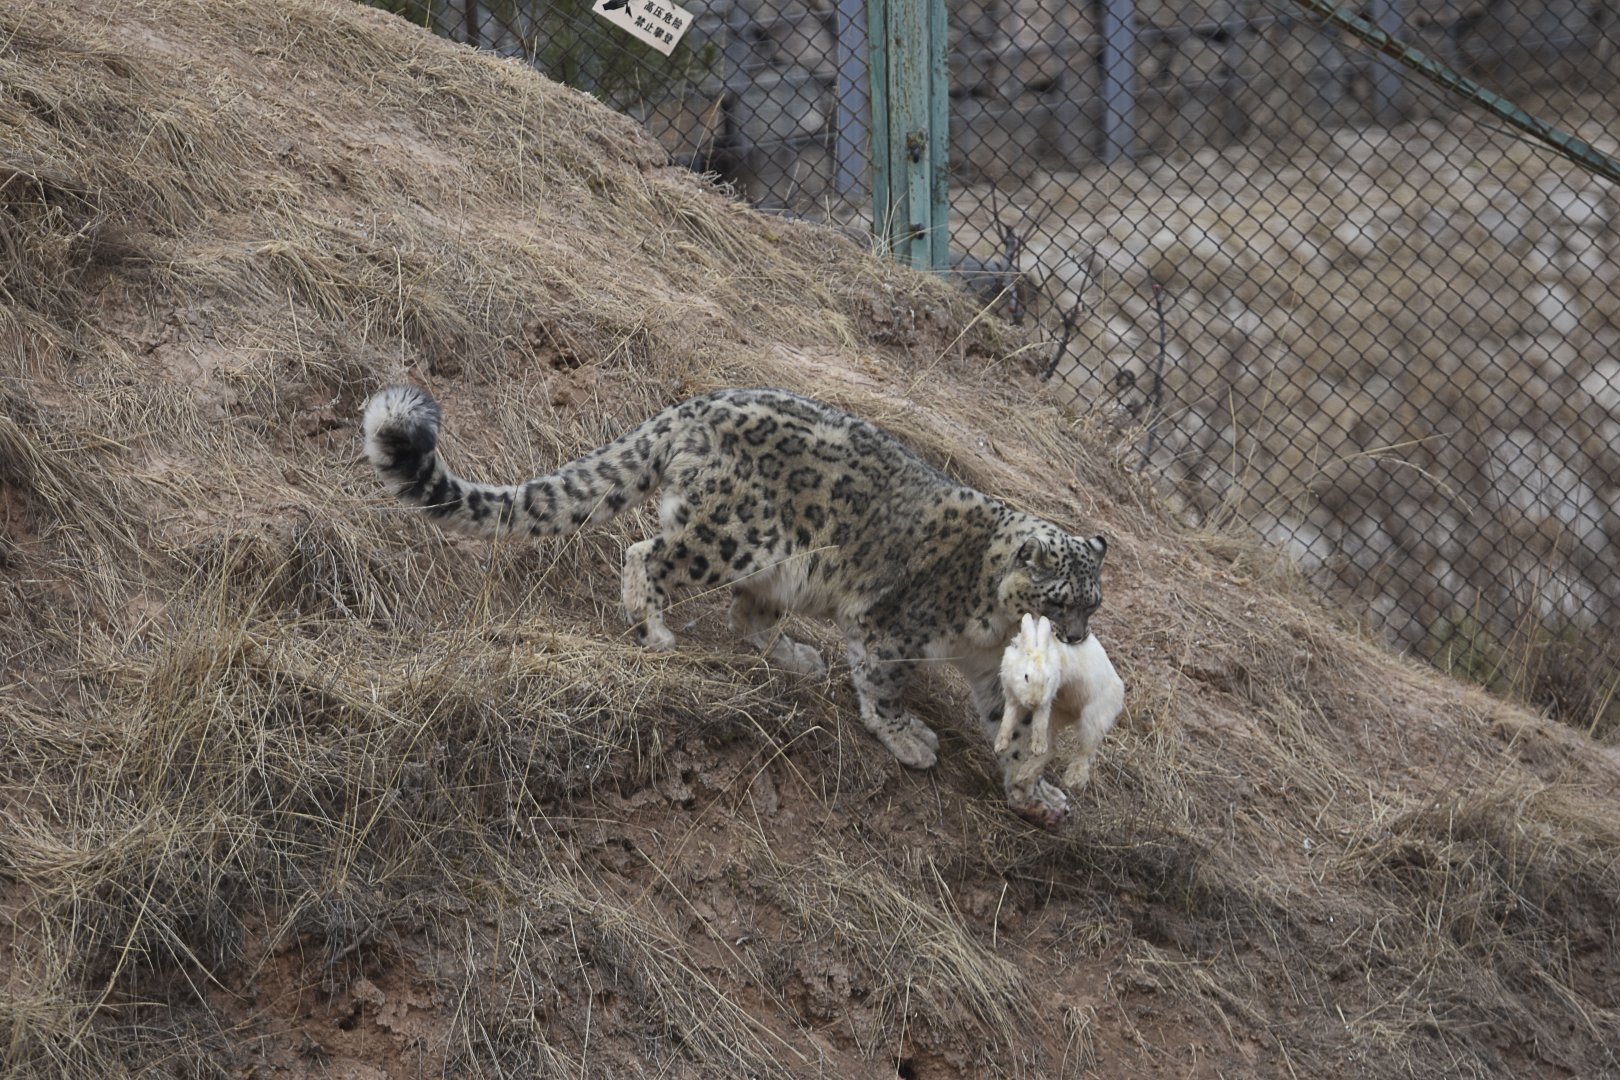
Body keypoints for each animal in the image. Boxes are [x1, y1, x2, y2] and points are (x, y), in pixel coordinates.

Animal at [361, 384, 1108, 828]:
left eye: (1093, 605)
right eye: (1060, 600)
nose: (1073, 640)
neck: (992, 624)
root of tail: (694, 406)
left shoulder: (990, 668)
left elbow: (1012, 730)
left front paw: (1035, 793)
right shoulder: (891, 627)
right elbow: (884, 685)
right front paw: (908, 739)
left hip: (778, 566)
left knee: (750, 616)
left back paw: (797, 657)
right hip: (734, 537)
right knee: (646, 553)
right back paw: (655, 629)